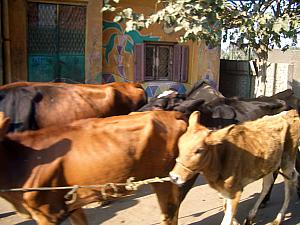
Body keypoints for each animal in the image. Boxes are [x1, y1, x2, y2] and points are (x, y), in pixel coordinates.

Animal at [169, 110, 300, 224]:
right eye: (179, 144)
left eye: (199, 150)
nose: (174, 177)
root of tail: (290, 112)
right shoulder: (225, 190)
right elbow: (225, 207)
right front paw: (236, 221)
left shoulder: (235, 191)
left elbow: (226, 219)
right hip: (269, 164)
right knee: (267, 184)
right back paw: (251, 216)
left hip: (287, 161)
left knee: (290, 186)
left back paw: (278, 218)